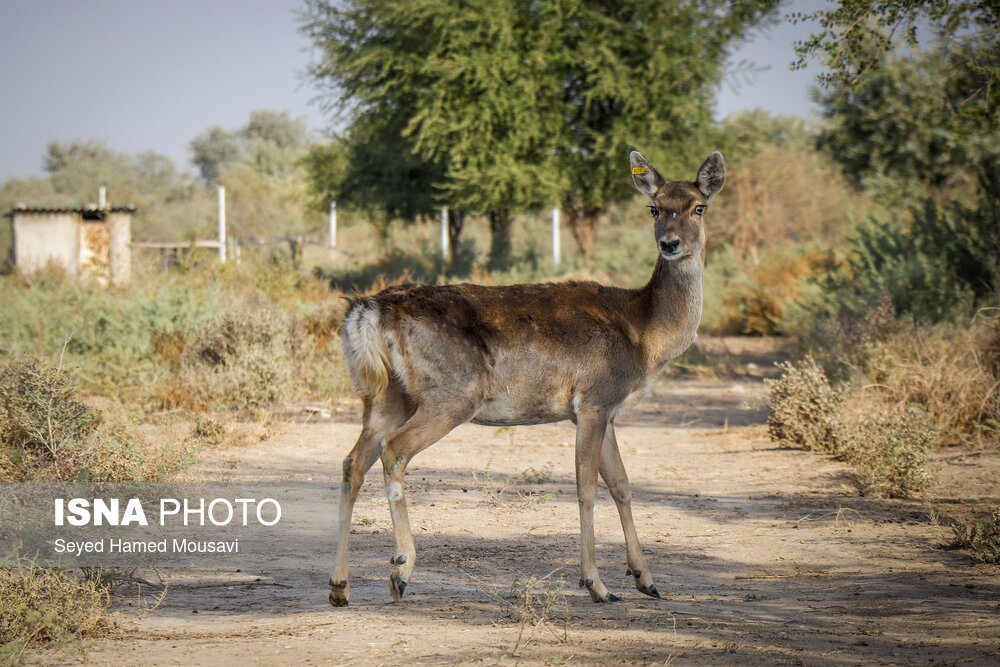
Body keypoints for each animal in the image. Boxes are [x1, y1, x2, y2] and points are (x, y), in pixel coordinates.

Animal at [330, 149, 728, 608]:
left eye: (698, 206)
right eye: (655, 207)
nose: (670, 243)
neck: (643, 334)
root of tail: (368, 311)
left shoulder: (605, 411)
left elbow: (622, 485)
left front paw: (646, 579)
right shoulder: (593, 400)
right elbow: (586, 488)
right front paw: (598, 584)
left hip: (387, 395)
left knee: (353, 461)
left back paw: (339, 586)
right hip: (451, 395)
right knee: (394, 451)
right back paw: (400, 570)